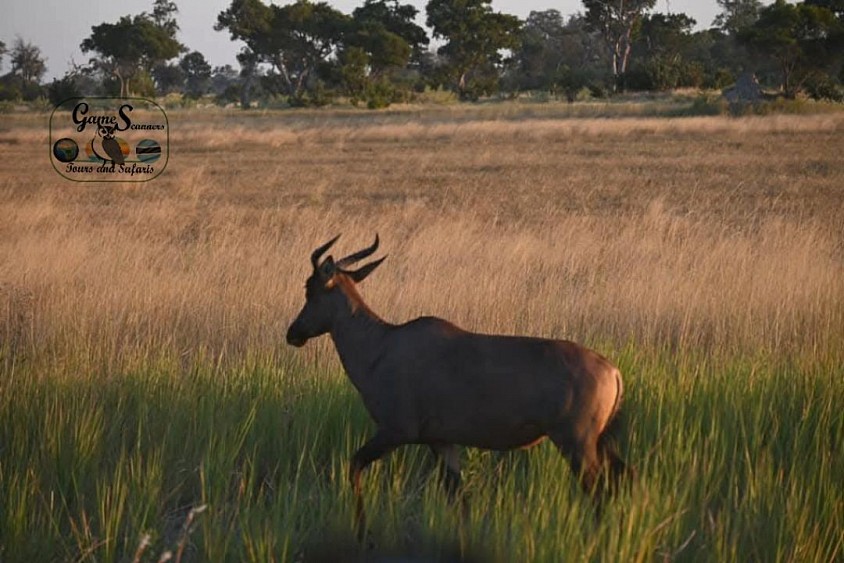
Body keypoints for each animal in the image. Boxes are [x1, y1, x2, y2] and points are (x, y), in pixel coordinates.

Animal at [286, 235, 631, 535]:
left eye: (310, 289)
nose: (293, 333)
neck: (384, 344)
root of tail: (612, 370)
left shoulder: (395, 432)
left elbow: (354, 465)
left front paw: (362, 533)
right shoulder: (441, 442)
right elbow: (460, 500)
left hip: (576, 444)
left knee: (600, 494)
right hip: (599, 443)